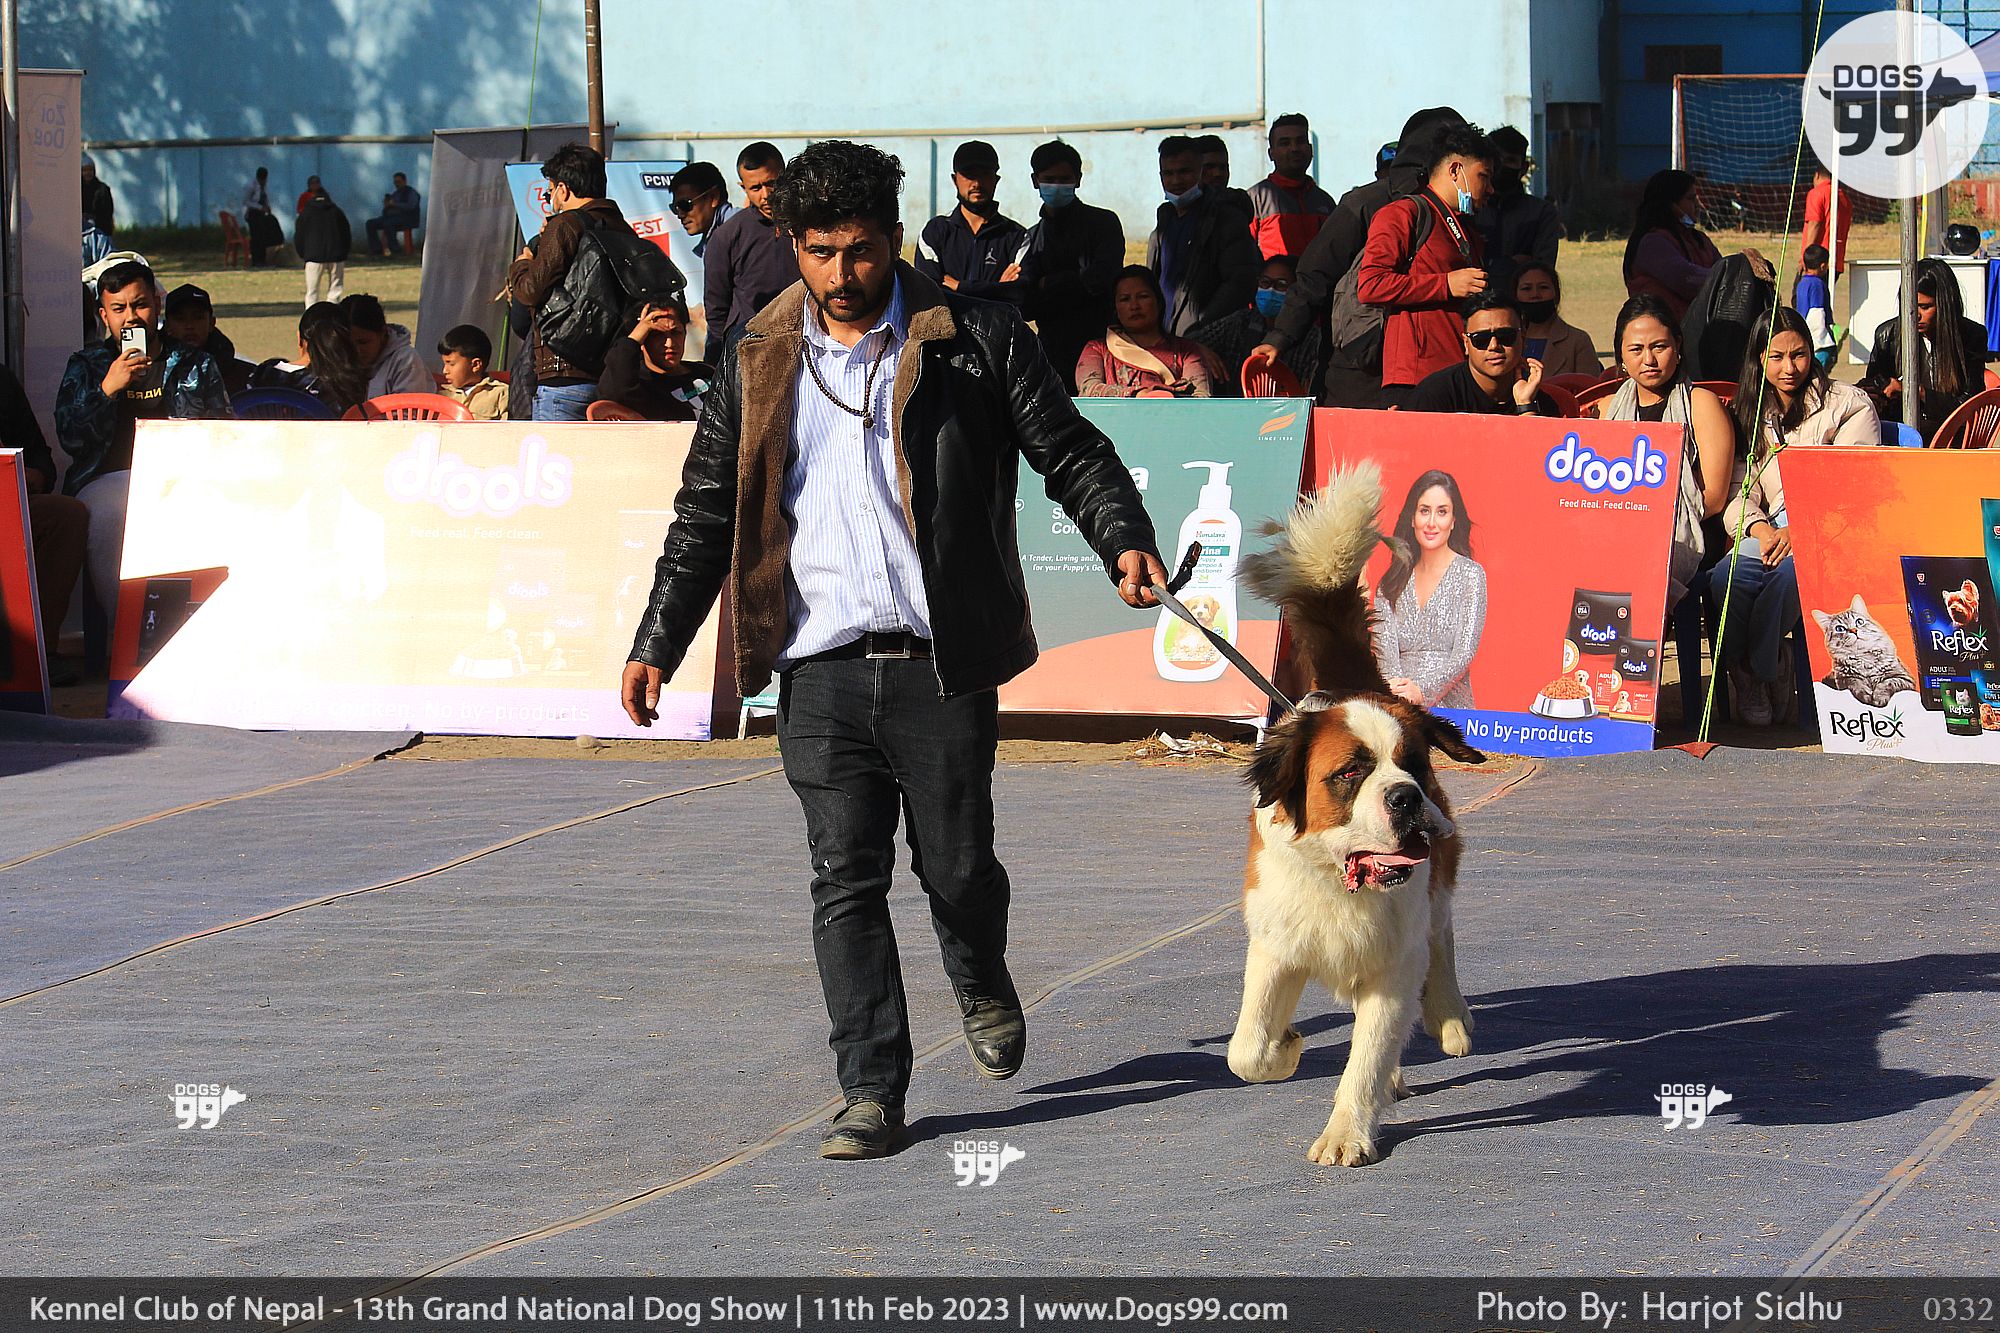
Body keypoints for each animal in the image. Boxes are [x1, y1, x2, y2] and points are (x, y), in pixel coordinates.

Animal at [1225, 463, 1484, 1167]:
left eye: (1412, 764)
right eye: (1349, 774)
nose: (1406, 797)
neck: (1341, 880)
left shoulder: (1393, 967)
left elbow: (1364, 1060)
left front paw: (1347, 1133)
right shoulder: (1277, 944)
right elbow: (1245, 1050)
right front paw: (1286, 1044)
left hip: (1439, 882)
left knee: (1442, 939)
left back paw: (1449, 1017)